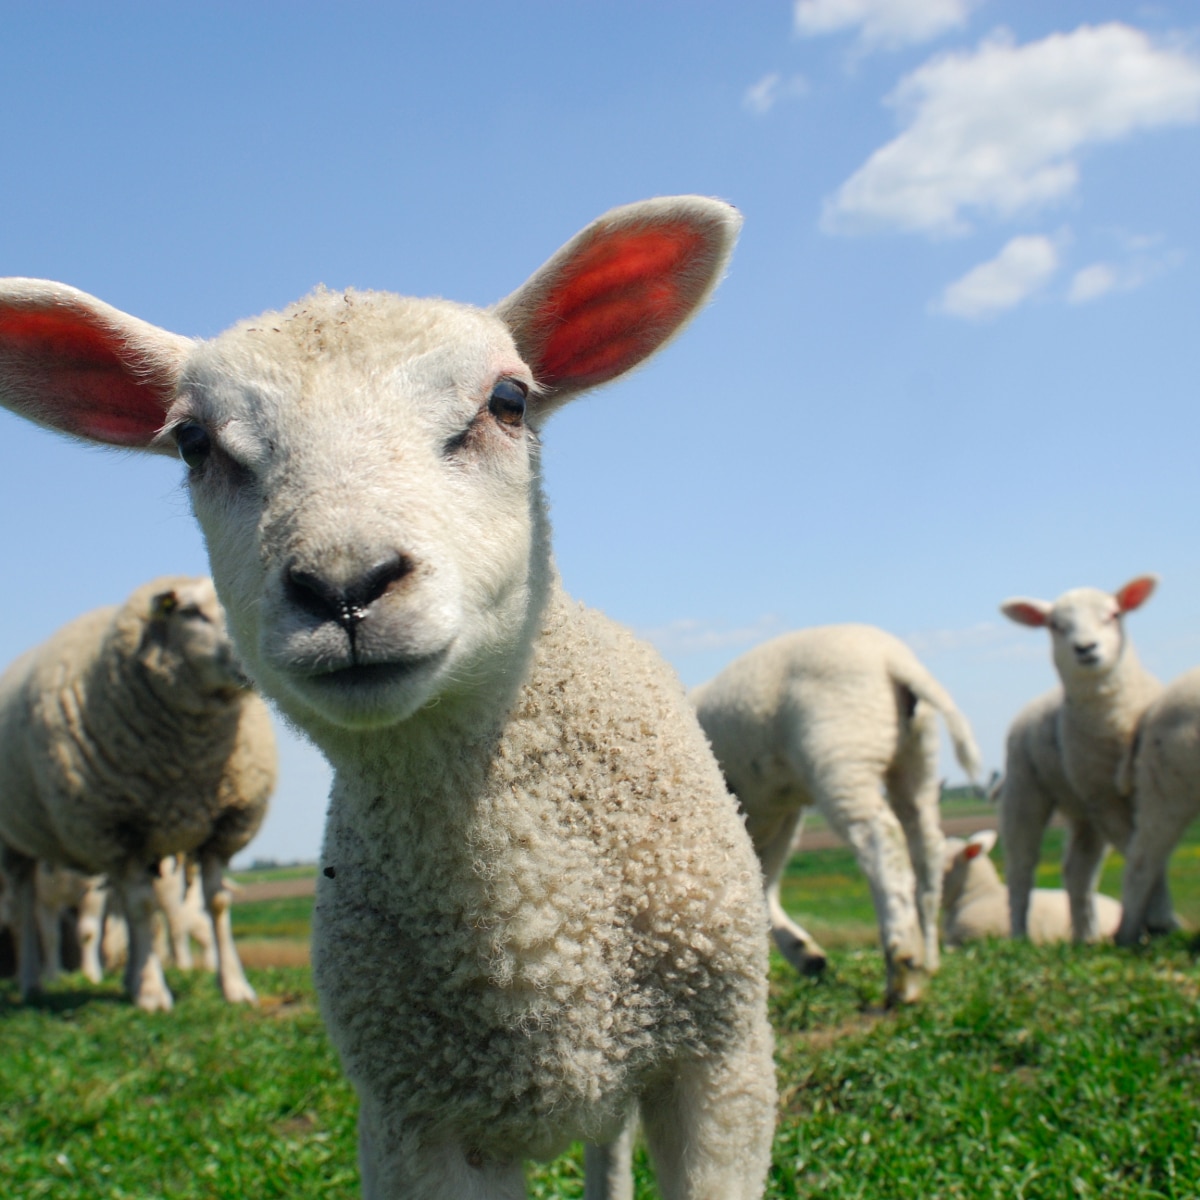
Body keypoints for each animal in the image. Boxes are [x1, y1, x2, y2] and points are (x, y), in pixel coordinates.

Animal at [0, 575, 276, 1011]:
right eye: (190, 612)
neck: (190, 761)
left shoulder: (221, 827)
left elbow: (215, 903)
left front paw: (234, 986)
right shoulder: (119, 827)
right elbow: (143, 907)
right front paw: (153, 994)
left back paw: (129, 977)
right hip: (17, 840)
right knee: (26, 908)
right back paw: (31, 981)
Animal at [692, 624, 982, 1006]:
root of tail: (893, 659)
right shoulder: (776, 814)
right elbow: (760, 879)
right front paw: (803, 954)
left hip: (841, 749)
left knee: (881, 840)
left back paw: (902, 968)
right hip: (915, 757)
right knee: (927, 847)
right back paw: (927, 957)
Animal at [997, 576, 1172, 943]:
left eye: (1114, 614)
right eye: (1055, 625)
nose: (1086, 648)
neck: (1115, 724)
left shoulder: (1149, 790)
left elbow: (1150, 850)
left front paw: (1157, 922)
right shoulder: (1106, 800)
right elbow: (1140, 853)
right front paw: (1160, 920)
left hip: (1083, 810)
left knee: (1077, 872)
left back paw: (1086, 937)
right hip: (1025, 789)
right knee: (1021, 866)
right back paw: (1019, 933)